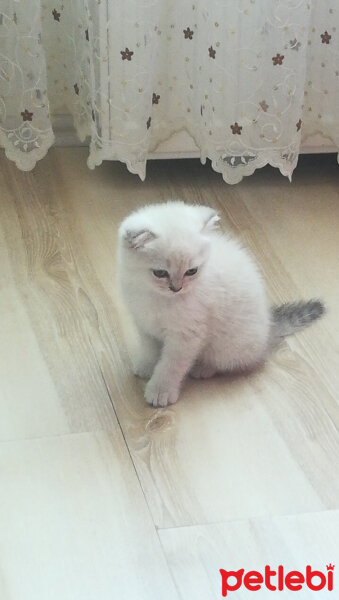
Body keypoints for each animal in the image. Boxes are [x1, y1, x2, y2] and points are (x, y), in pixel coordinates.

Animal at [118, 202, 326, 408]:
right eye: (160, 273)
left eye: (191, 271)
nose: (176, 288)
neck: (155, 297)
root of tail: (269, 329)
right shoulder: (144, 323)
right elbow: (149, 348)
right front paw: (146, 366)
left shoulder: (186, 336)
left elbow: (171, 365)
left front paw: (160, 390)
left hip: (229, 343)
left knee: (226, 362)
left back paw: (203, 367)